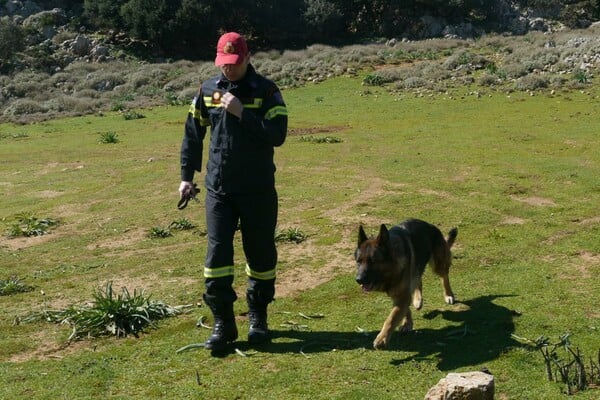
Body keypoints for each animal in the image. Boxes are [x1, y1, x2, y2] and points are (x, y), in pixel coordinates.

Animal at [354, 219, 458, 350]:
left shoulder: (402, 295)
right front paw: (407, 323)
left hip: (438, 264)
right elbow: (403, 309)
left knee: (444, 277)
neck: (392, 269)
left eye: (373, 261)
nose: (358, 279)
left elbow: (392, 318)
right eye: (358, 261)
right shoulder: (399, 294)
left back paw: (448, 294)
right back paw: (417, 299)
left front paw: (382, 338)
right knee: (418, 280)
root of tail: (430, 225)